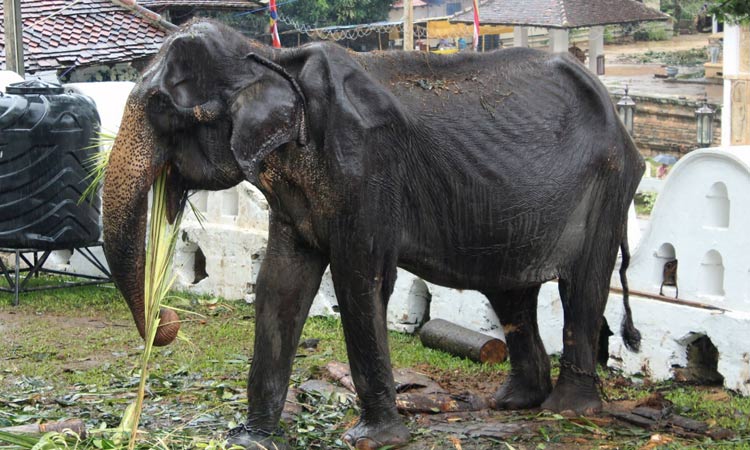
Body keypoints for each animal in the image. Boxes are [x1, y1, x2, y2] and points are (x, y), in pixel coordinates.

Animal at [103, 20, 648, 450]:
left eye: (162, 108)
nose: (169, 318)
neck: (272, 61)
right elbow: (279, 285)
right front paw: (251, 439)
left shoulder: (366, 170)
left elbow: (359, 283)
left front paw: (371, 439)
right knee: (510, 292)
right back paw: (514, 402)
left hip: (607, 187)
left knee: (581, 288)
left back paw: (568, 410)